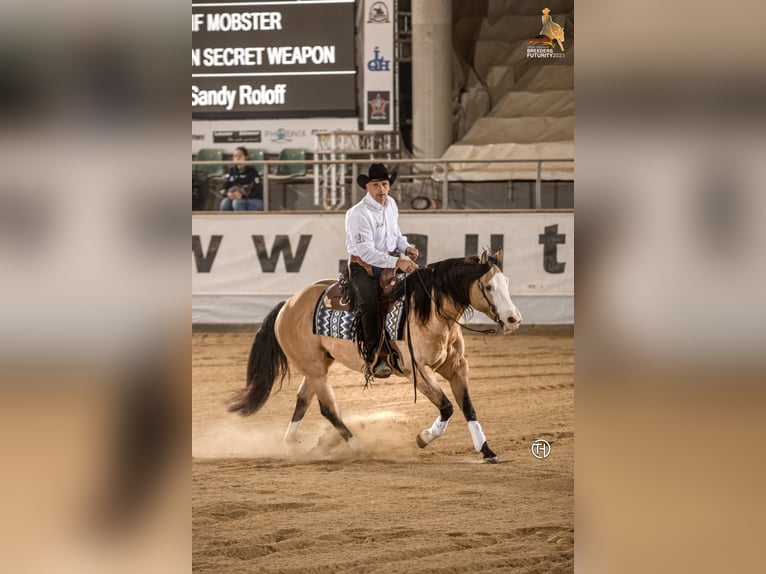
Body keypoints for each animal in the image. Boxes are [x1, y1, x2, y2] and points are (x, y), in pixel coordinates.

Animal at [228, 249, 523, 463]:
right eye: (488, 286)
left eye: (506, 282)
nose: (513, 319)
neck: (429, 312)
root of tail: (287, 304)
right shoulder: (415, 370)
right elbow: (447, 407)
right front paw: (423, 438)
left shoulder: (456, 367)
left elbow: (467, 407)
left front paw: (486, 450)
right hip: (314, 369)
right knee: (328, 409)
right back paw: (358, 448)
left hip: (318, 365)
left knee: (302, 400)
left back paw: (293, 445)